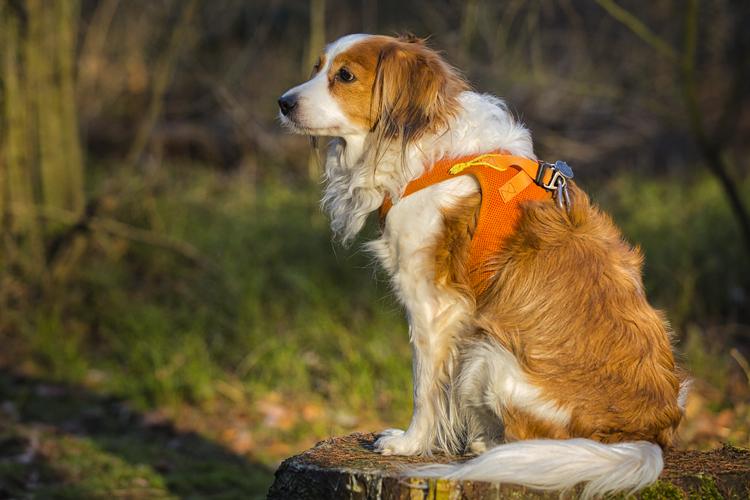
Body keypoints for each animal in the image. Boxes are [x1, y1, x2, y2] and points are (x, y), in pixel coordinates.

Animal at [278, 33, 692, 498]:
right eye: (317, 67)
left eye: (345, 76)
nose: (283, 103)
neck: (428, 153)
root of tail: (646, 436)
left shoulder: (433, 305)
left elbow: (425, 388)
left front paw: (411, 443)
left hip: (489, 354)